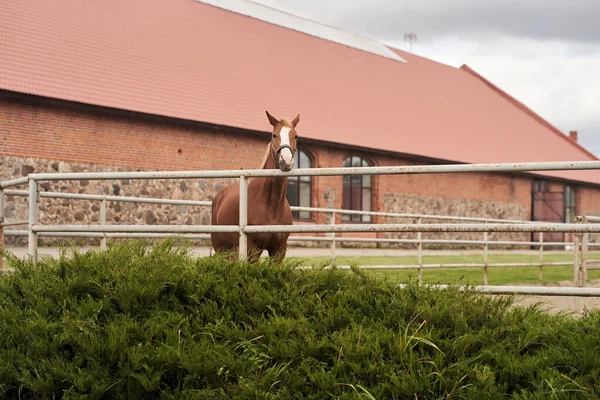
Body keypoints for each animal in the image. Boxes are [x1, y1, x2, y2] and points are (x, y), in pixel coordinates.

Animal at [210, 111, 300, 264]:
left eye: (295, 136)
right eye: (274, 135)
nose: (286, 161)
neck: (271, 205)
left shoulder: (279, 250)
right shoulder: (252, 249)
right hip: (221, 246)